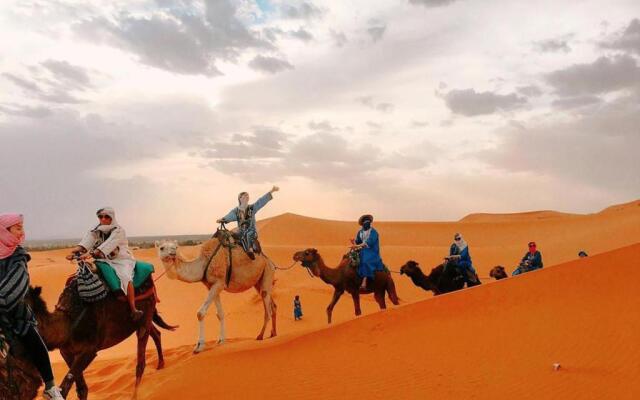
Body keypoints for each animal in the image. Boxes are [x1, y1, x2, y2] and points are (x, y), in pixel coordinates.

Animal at [25, 278, 176, 400]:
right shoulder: (66, 352)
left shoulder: (89, 350)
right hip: (143, 319)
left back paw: (135, 395)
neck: (68, 321)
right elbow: (81, 388)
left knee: (141, 361)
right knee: (155, 332)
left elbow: (64, 389)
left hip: (146, 314)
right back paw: (161, 364)